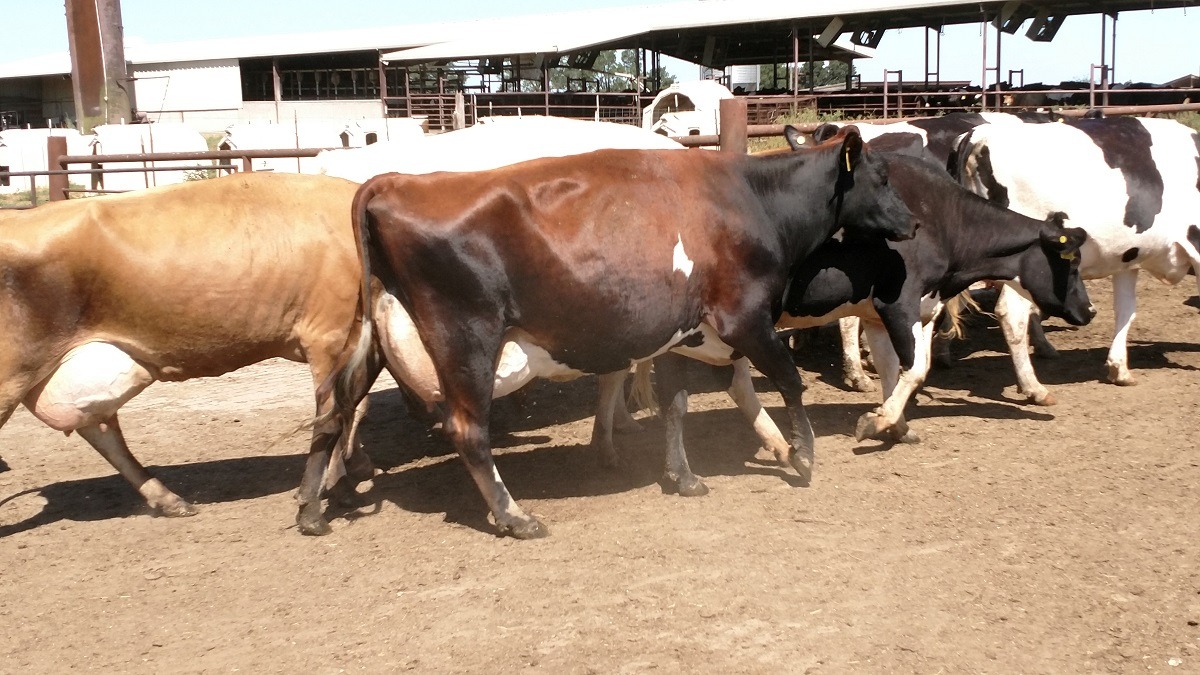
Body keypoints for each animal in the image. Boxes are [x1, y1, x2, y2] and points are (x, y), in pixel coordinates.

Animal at [310, 129, 918, 539]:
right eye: (882, 177)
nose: (913, 222)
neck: (751, 199)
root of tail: (394, 181)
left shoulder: (683, 334)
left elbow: (675, 406)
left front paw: (683, 477)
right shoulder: (745, 319)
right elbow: (790, 382)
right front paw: (803, 456)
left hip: (370, 338)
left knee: (332, 410)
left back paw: (311, 509)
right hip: (468, 338)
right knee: (468, 430)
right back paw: (514, 515)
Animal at [951, 115, 1200, 400]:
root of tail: (980, 134)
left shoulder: (1128, 258)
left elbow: (1126, 310)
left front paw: (1119, 369)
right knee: (1012, 313)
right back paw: (1034, 387)